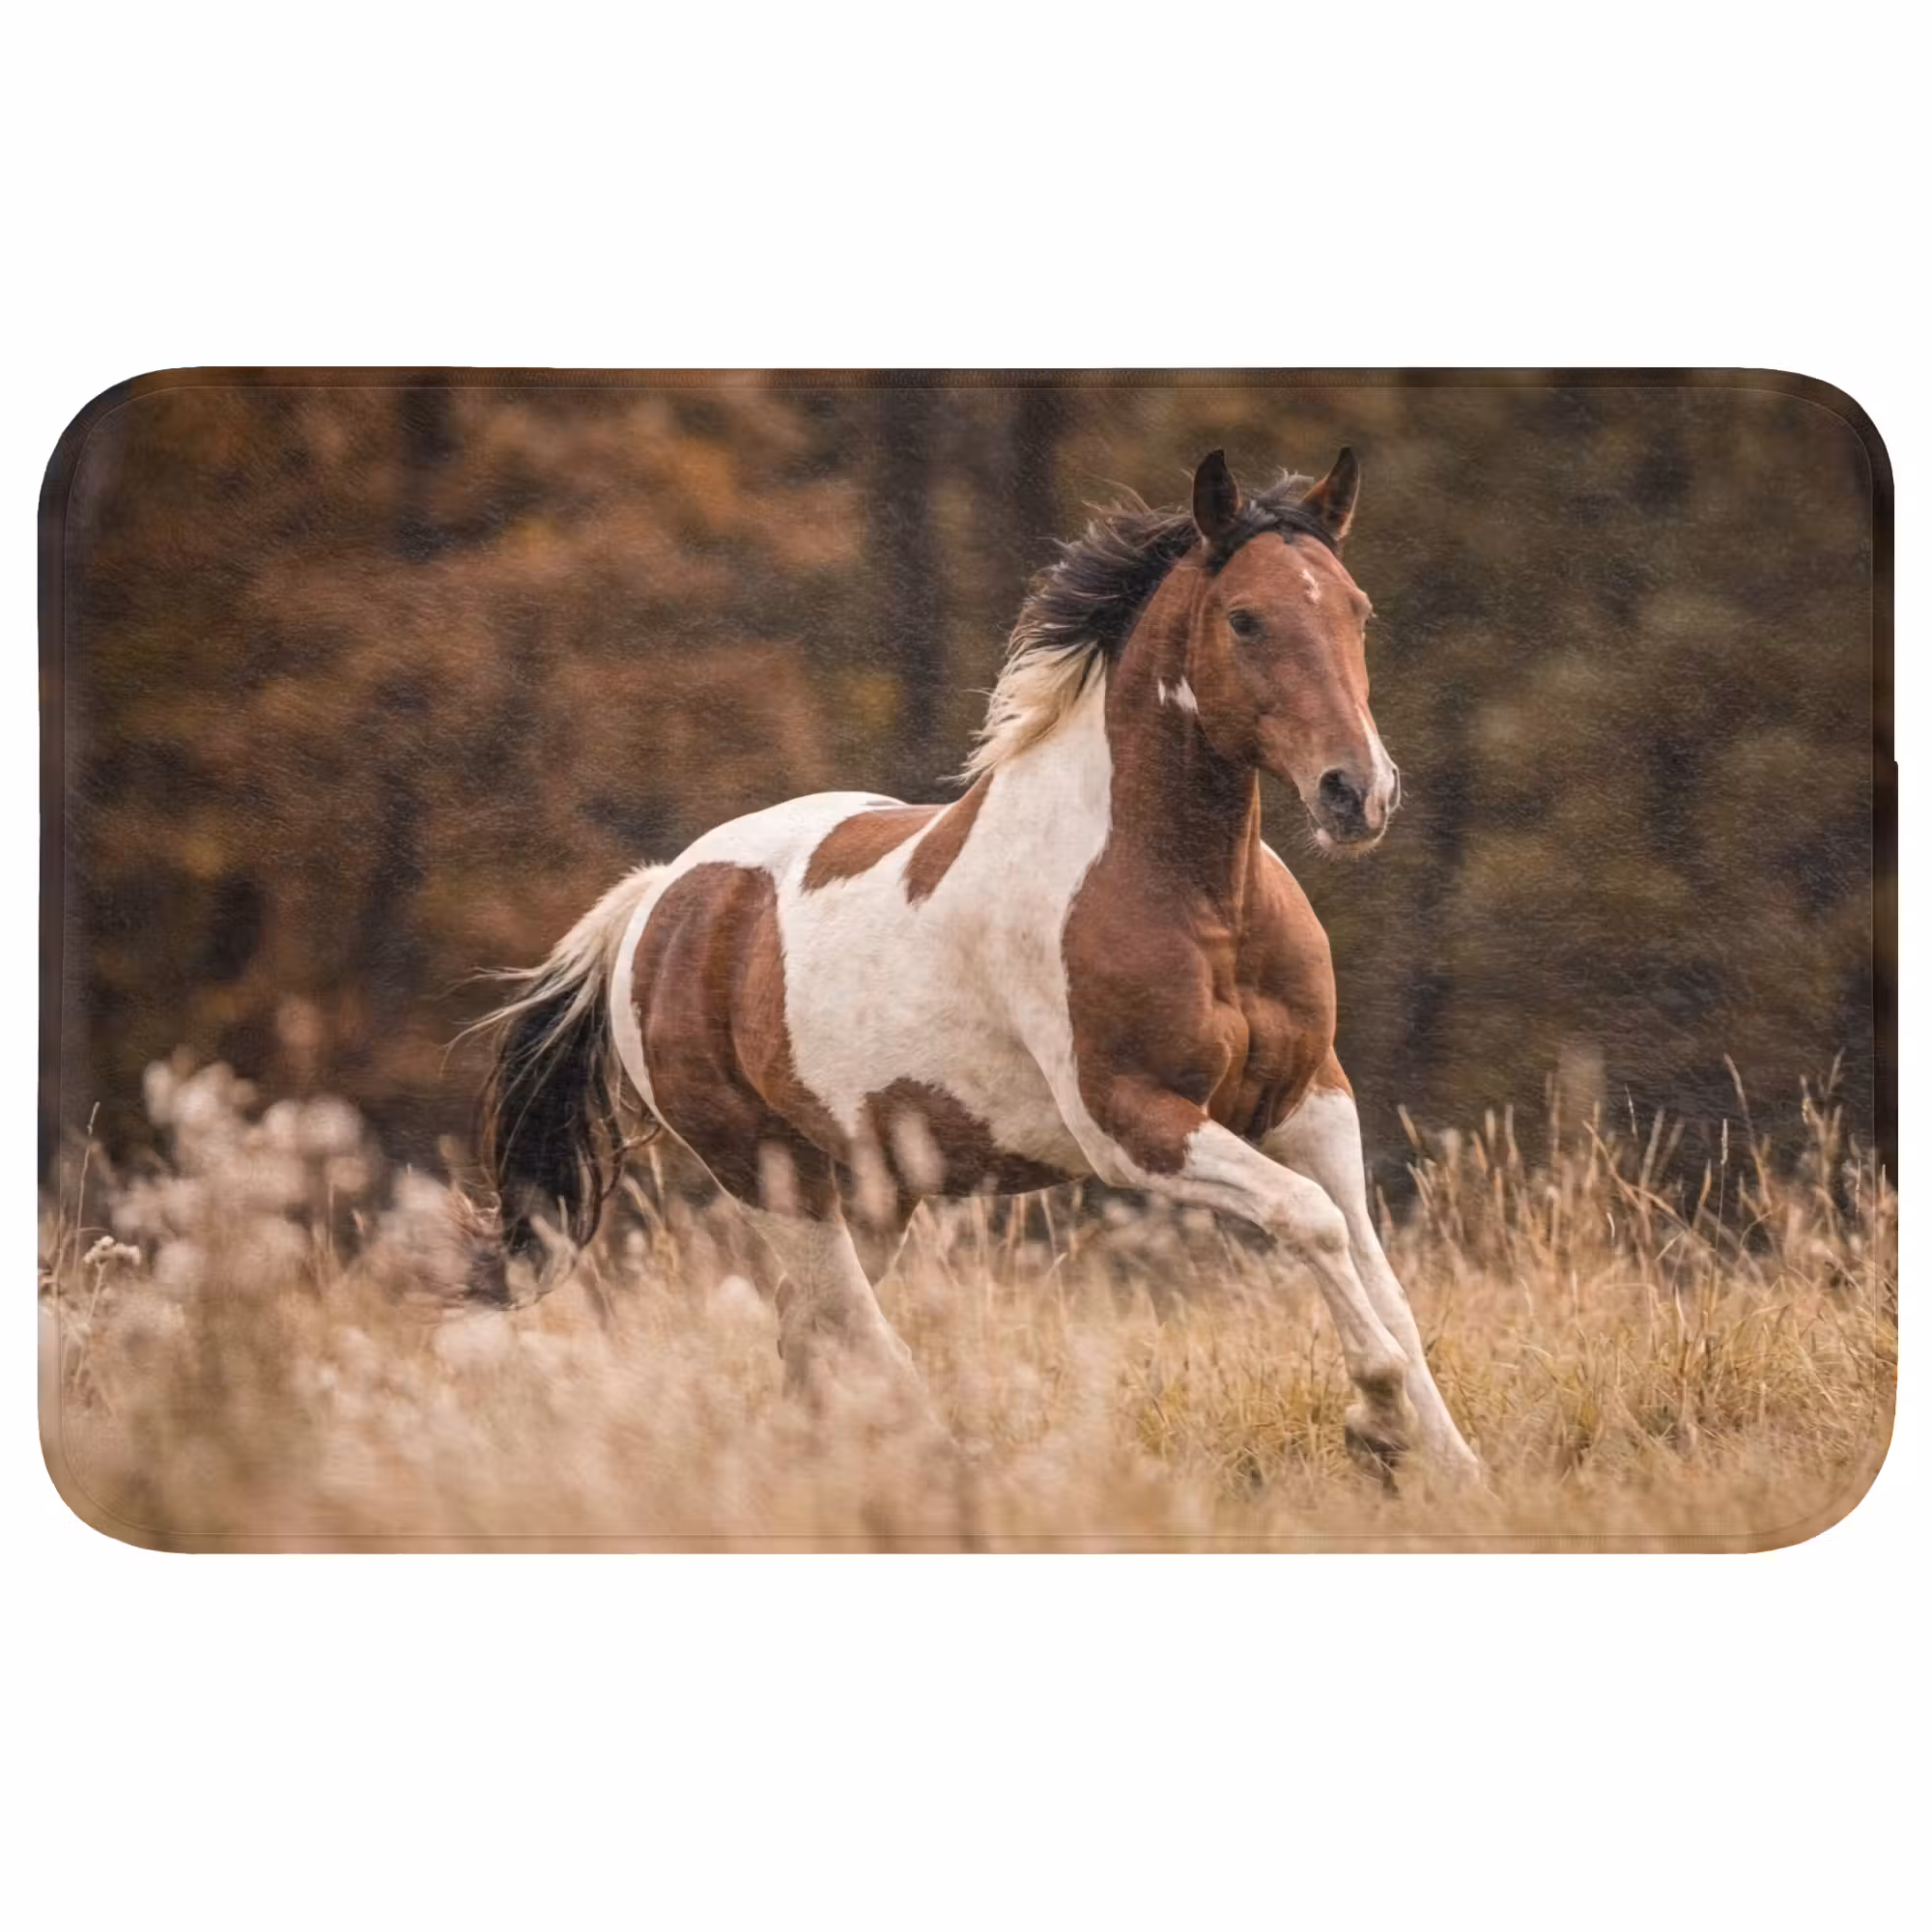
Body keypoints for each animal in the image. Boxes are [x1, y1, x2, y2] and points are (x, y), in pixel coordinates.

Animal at [473, 448, 1481, 1481]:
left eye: (1358, 610)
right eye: (1245, 617)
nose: (1357, 793)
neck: (1202, 902)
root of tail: (658, 898)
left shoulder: (1310, 1100)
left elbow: (1376, 1273)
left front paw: (1453, 1468)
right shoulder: (1133, 1125)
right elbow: (1308, 1218)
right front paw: (1377, 1420)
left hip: (876, 1186)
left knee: (810, 1337)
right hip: (768, 1172)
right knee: (854, 1335)